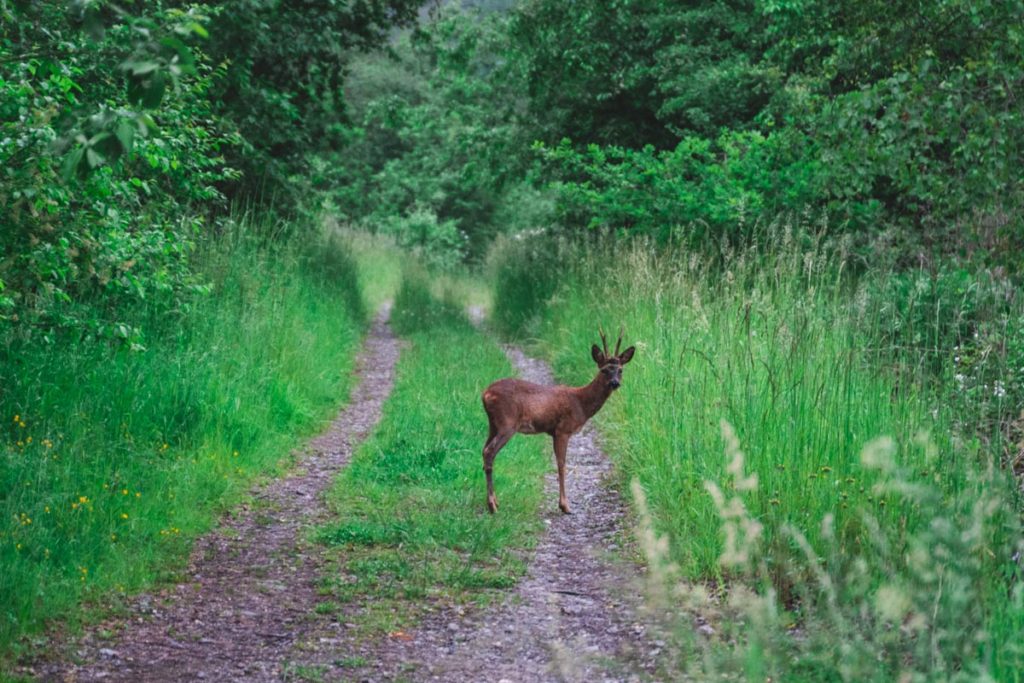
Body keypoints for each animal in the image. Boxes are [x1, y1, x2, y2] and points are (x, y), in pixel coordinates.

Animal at [479, 327, 630, 516]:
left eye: (620, 370)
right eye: (604, 370)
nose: (615, 383)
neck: (581, 403)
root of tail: (485, 394)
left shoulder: (553, 431)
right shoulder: (563, 430)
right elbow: (561, 464)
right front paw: (565, 506)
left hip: (493, 424)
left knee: (484, 450)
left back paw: (494, 502)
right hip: (507, 423)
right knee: (489, 452)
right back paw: (492, 505)